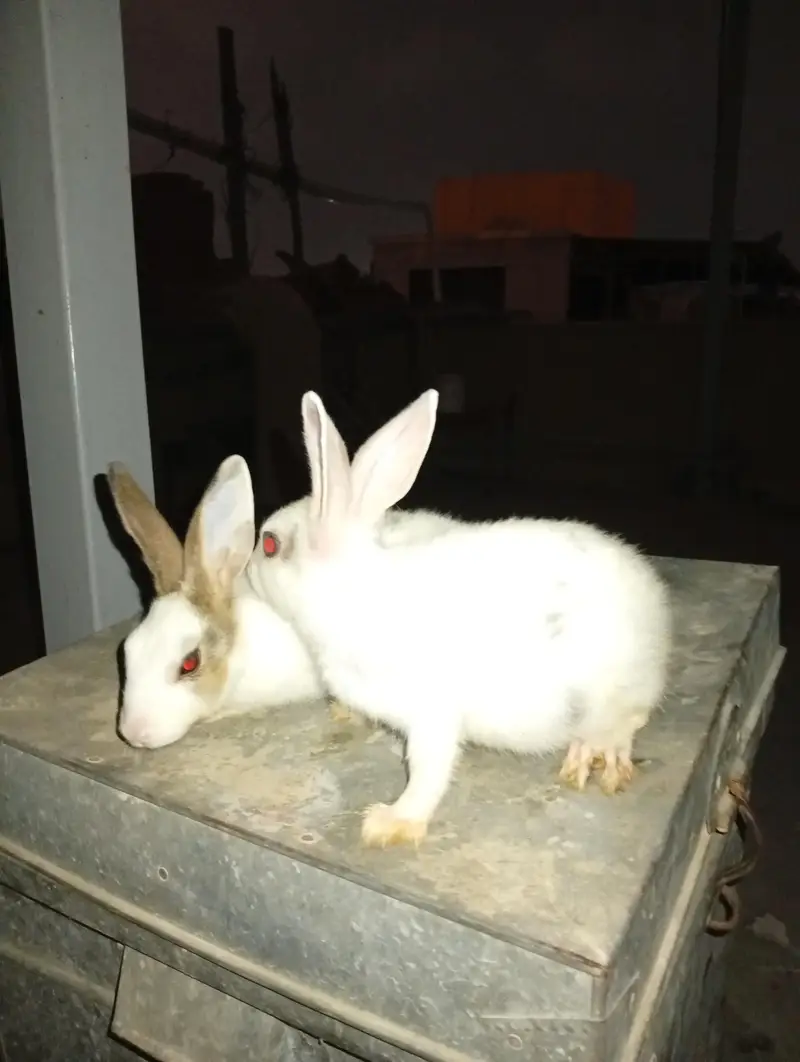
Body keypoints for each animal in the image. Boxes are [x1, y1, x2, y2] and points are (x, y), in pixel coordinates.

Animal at [246, 390, 672, 848]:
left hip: (615, 690)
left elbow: (427, 769)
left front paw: (389, 824)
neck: (349, 590)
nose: (247, 571)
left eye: (269, 544)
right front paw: (347, 714)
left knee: (629, 719)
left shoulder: (430, 712)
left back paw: (595, 753)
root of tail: (656, 608)